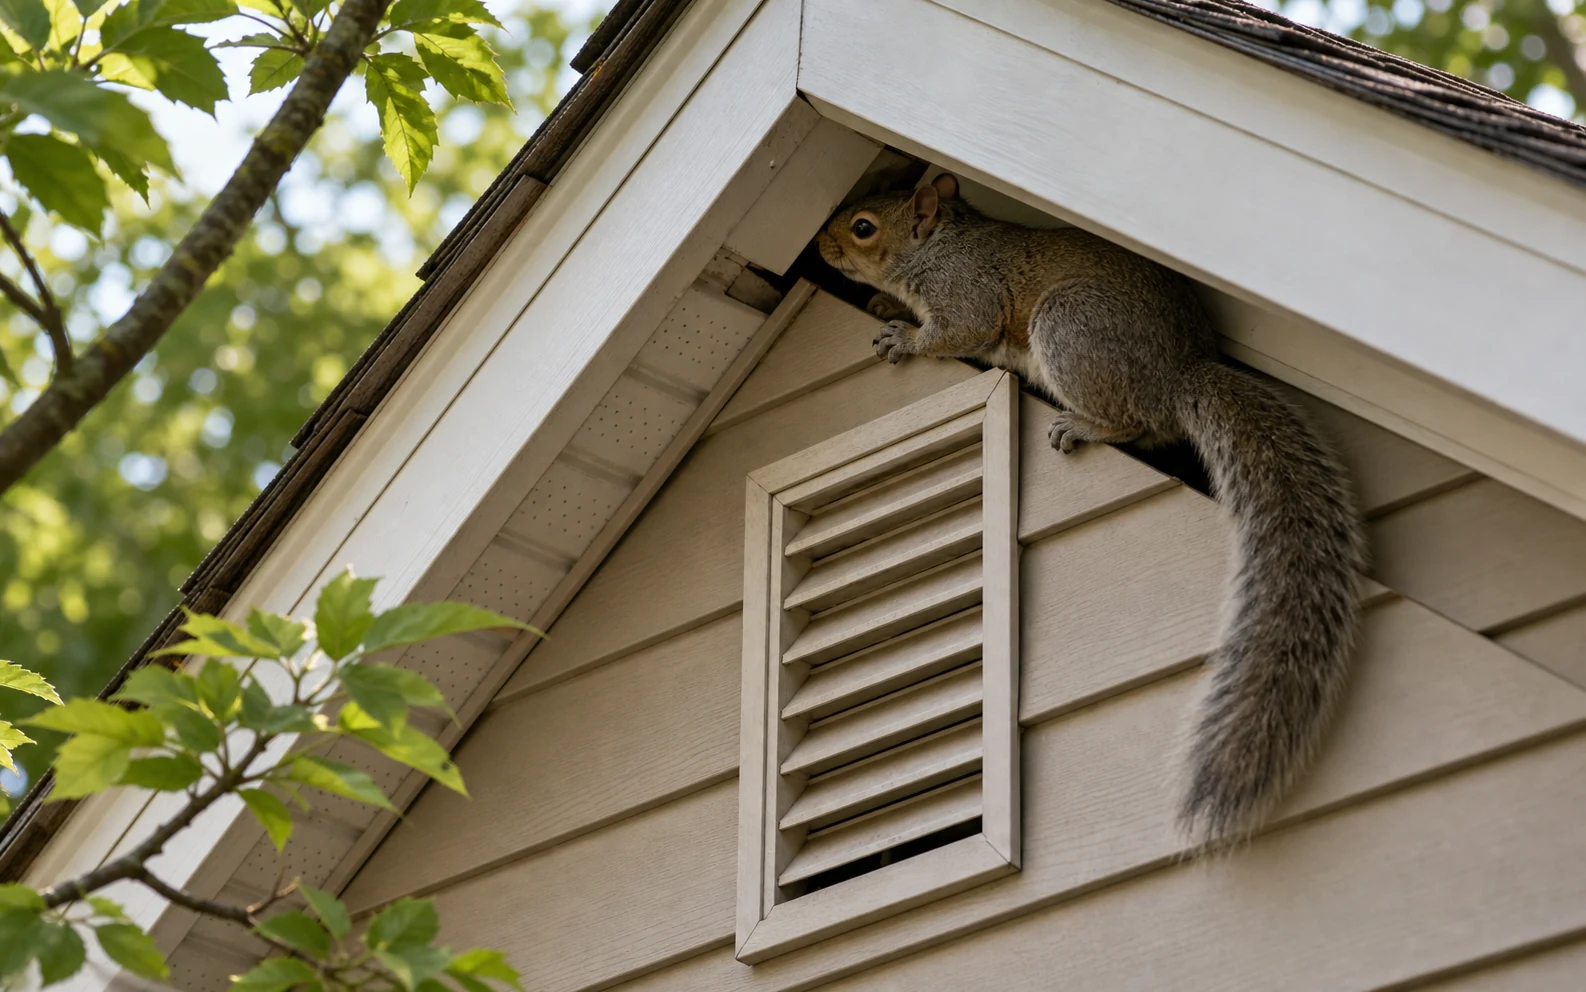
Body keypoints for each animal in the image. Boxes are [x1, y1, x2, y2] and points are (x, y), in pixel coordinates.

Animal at [816, 173, 1367, 848]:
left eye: (863, 227)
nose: (820, 244)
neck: (941, 246)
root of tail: (1178, 376)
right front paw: (882, 308)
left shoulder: (967, 296)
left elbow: (956, 333)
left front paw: (906, 338)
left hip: (1072, 329)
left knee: (1130, 420)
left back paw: (1081, 424)